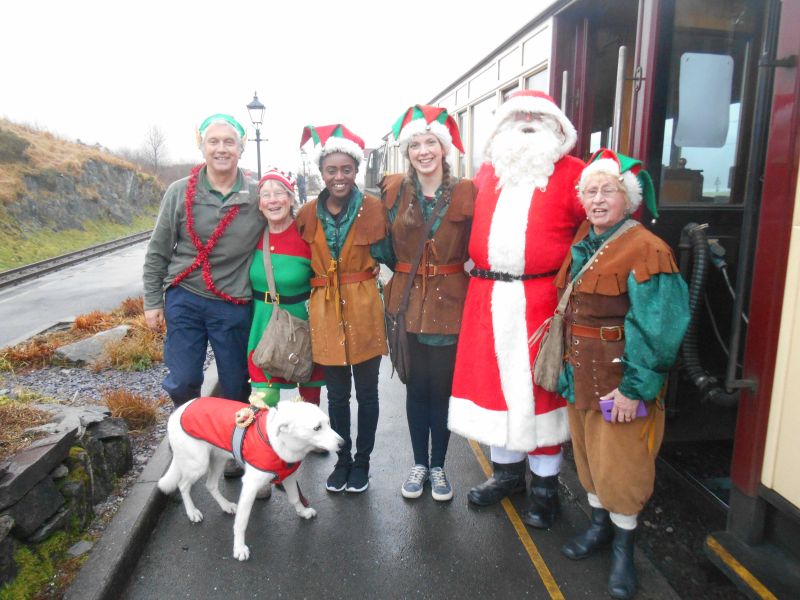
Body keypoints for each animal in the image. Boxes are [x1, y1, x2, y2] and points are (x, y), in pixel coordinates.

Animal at [158, 396, 342, 560]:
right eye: (317, 428)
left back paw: (226, 506)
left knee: (210, 485)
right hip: (198, 464)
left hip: (218, 459)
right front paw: (239, 548)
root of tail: (176, 412)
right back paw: (192, 512)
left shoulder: (289, 476)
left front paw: (302, 512)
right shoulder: (250, 486)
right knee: (183, 485)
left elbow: (295, 498)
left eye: (328, 423)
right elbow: (241, 522)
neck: (279, 442)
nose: (343, 443)